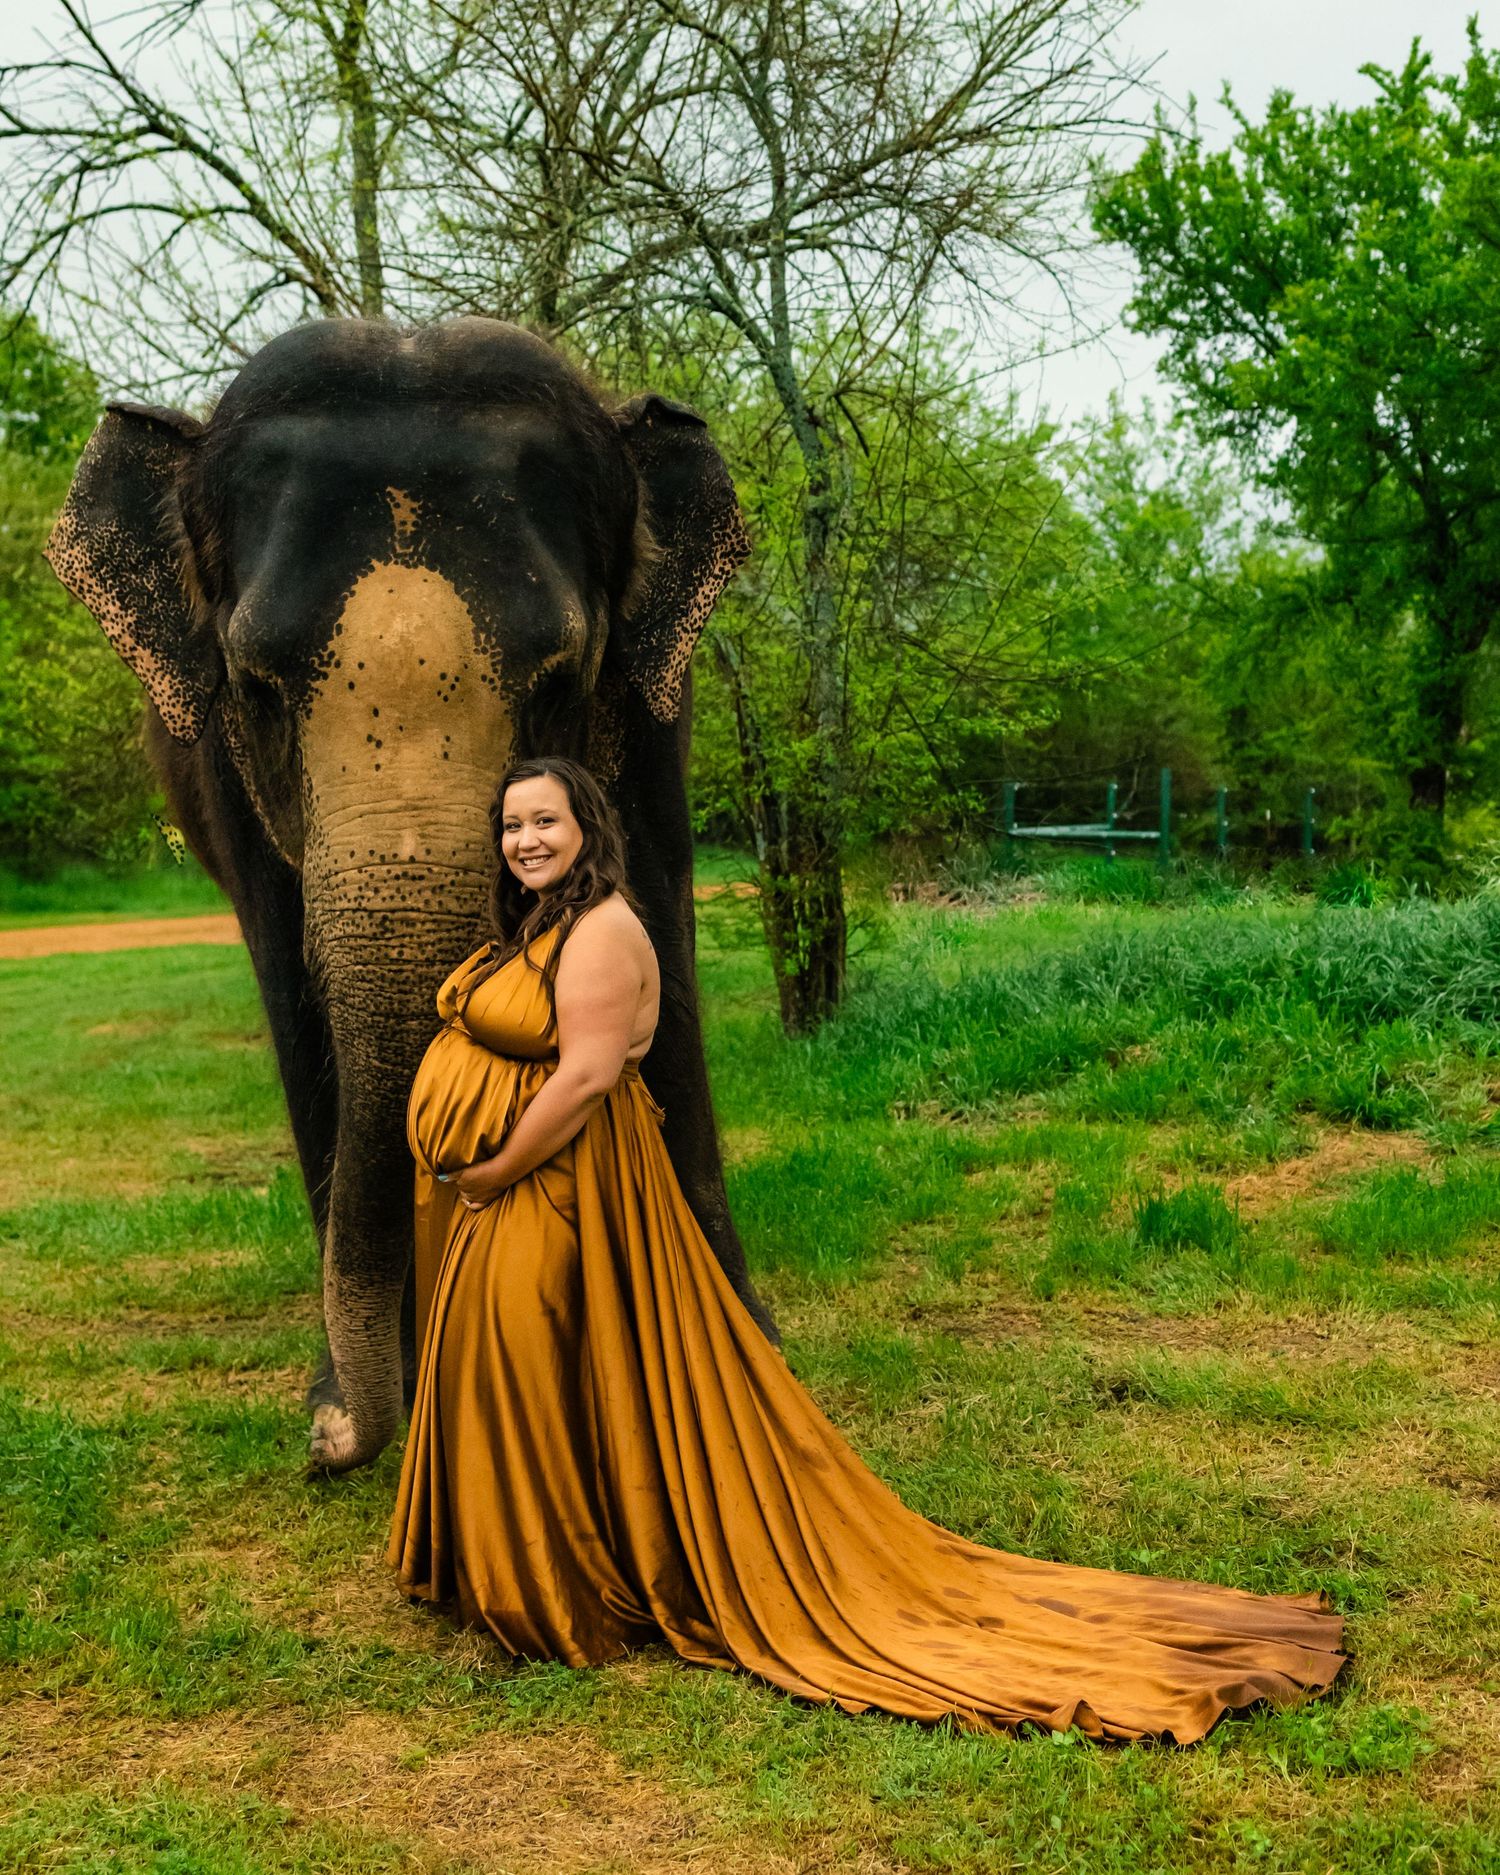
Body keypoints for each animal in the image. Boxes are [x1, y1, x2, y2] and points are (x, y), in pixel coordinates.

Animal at [47, 315, 778, 1470]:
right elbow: (297, 1007)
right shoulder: (226, 779)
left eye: (563, 680)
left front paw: (744, 1342)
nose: (332, 1440)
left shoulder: (654, 716)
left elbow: (656, 939)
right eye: (254, 686)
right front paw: (341, 1393)